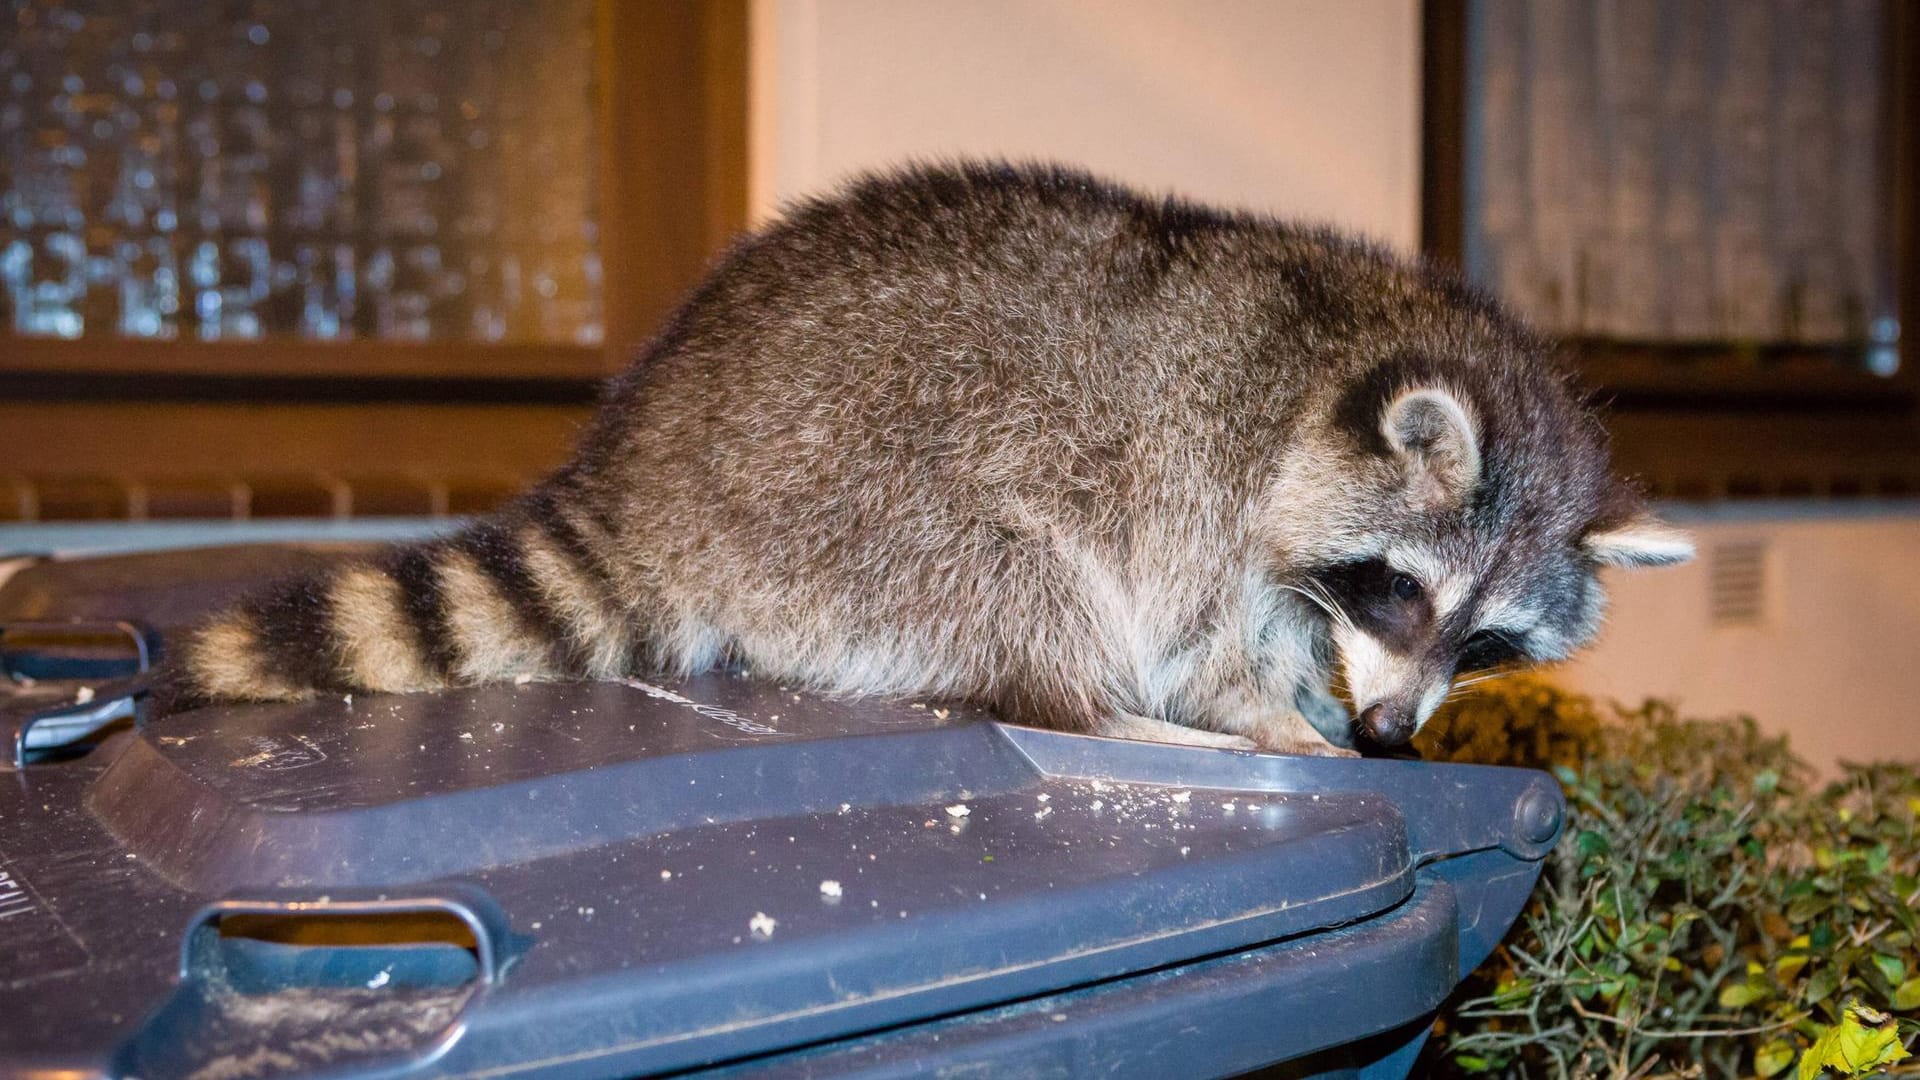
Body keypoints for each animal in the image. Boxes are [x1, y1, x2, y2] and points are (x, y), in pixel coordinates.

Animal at [176, 164, 1681, 753]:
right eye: (1401, 589)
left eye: (1487, 642)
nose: (1385, 736)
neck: (1337, 353)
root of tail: (645, 463)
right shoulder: (1203, 477)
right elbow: (1199, 638)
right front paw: (1269, 716)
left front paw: (1334, 701)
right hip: (849, 494)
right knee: (1015, 575)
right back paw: (1089, 703)